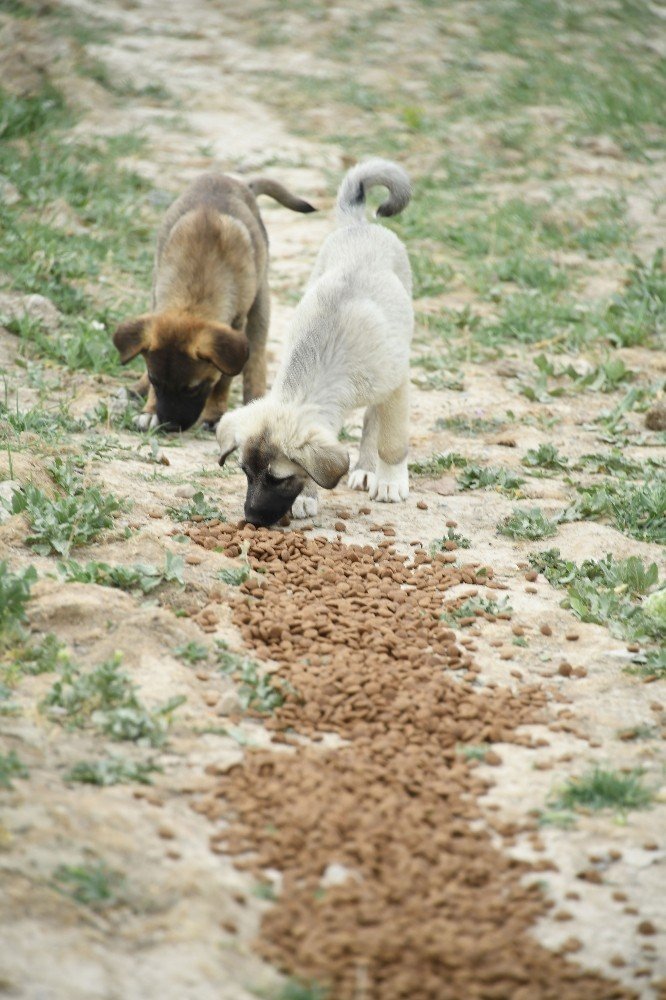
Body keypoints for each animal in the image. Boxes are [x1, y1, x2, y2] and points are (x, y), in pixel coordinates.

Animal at [112, 172, 314, 430]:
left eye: (194, 388)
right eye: (156, 382)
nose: (169, 425)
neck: (194, 291)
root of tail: (239, 182)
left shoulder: (235, 326)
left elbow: (225, 378)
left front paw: (214, 413)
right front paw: (148, 408)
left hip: (260, 299)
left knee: (256, 356)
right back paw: (134, 390)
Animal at [215, 156, 412, 528]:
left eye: (278, 479)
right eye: (245, 472)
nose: (252, 519)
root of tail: (358, 225)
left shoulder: (396, 386)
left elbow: (392, 441)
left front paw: (391, 481)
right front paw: (308, 497)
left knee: (372, 420)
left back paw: (368, 470)